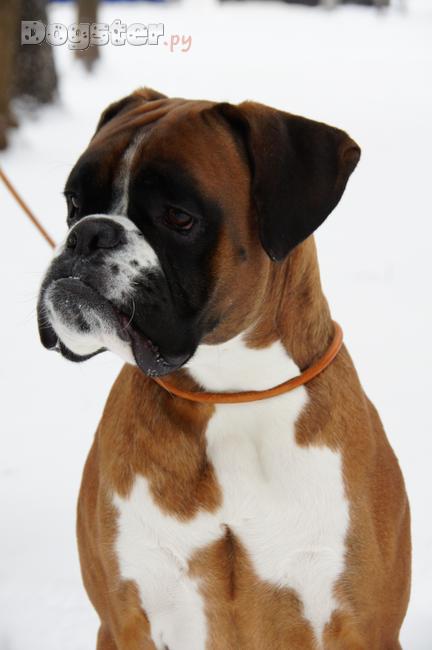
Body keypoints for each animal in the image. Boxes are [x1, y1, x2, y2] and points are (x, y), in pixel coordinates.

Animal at [37, 88, 411, 649]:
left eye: (178, 216)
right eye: (74, 204)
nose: (88, 234)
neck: (229, 394)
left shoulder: (361, 626)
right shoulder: (125, 622)